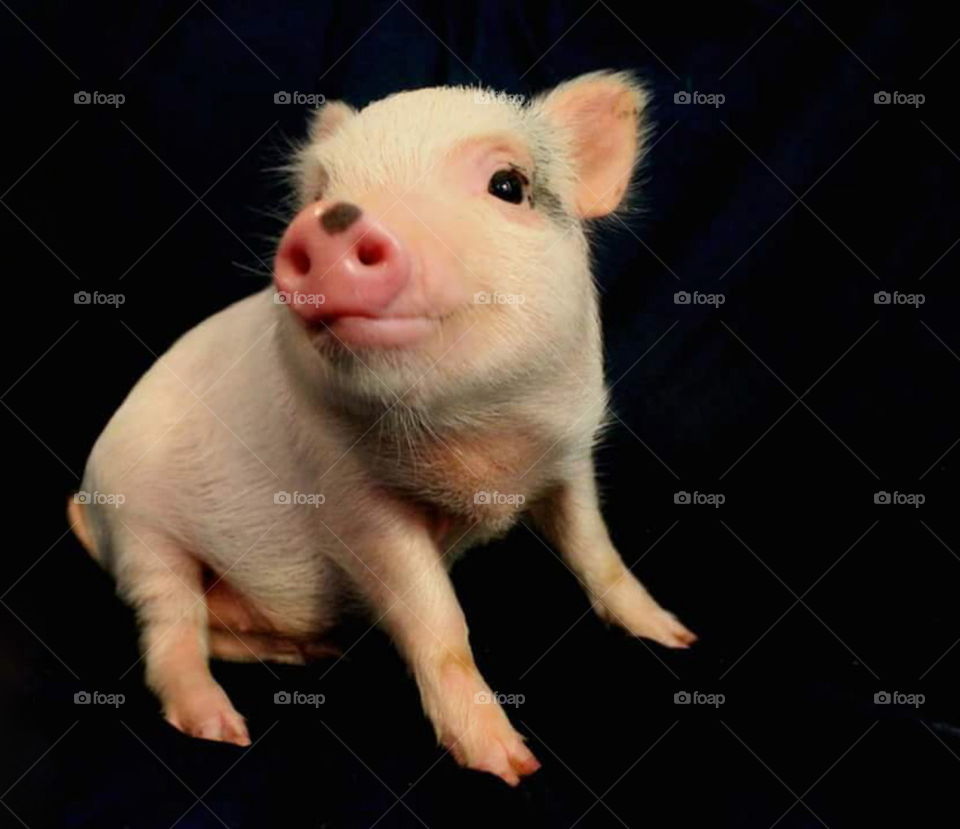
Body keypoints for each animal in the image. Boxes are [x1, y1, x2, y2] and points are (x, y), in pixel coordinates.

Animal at [68, 70, 696, 786]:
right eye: (320, 193)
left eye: (508, 184)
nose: (333, 220)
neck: (484, 452)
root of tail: (87, 498)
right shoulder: (354, 501)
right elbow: (437, 620)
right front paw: (511, 767)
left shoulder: (568, 454)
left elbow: (596, 548)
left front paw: (675, 636)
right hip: (142, 534)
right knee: (169, 633)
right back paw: (224, 729)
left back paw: (310, 654)